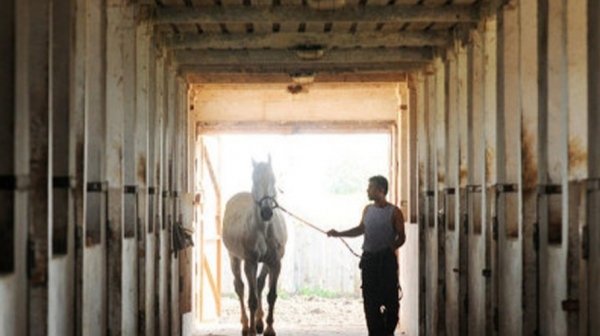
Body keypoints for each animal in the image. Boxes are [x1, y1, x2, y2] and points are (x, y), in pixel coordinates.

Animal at [223, 158, 288, 336]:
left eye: (273, 178)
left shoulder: (275, 263)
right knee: (240, 287)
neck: (264, 229)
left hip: (265, 263)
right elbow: (251, 299)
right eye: (254, 180)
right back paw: (246, 326)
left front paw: (269, 329)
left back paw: (259, 323)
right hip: (234, 257)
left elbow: (271, 295)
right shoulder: (250, 263)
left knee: (259, 283)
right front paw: (252, 330)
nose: (266, 212)